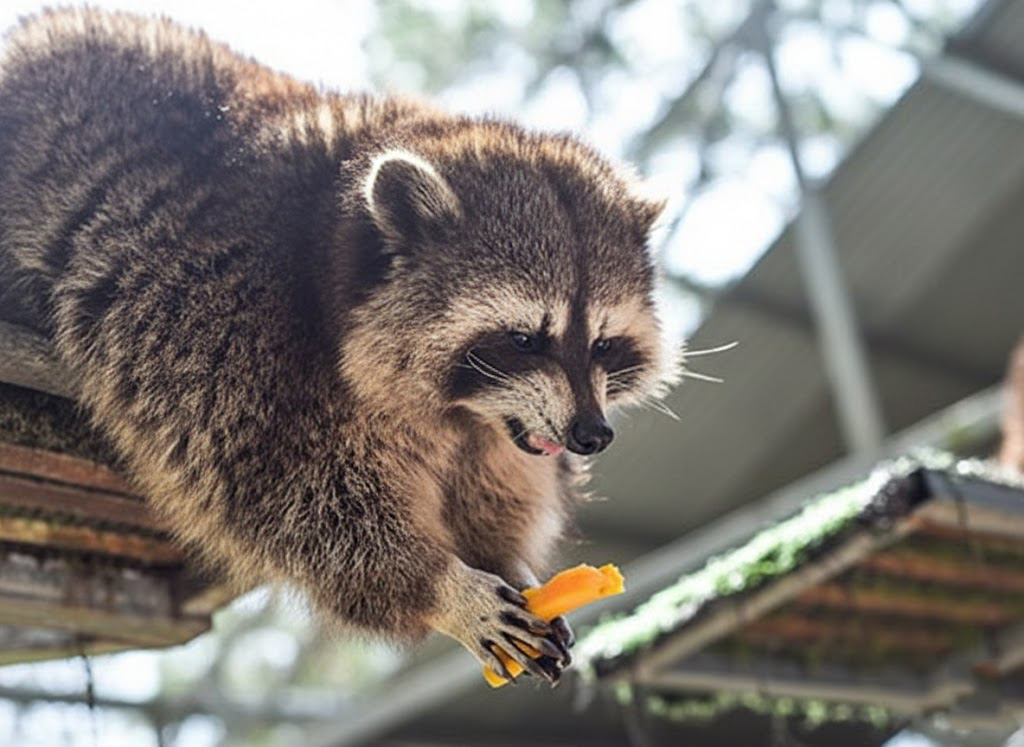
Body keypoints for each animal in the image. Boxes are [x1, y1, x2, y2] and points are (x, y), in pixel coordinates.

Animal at [0, 9, 674, 682]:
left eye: (604, 344)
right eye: (525, 338)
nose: (593, 435)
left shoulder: (499, 430)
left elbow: (493, 484)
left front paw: (507, 559)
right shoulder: (225, 324)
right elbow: (289, 495)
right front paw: (444, 587)